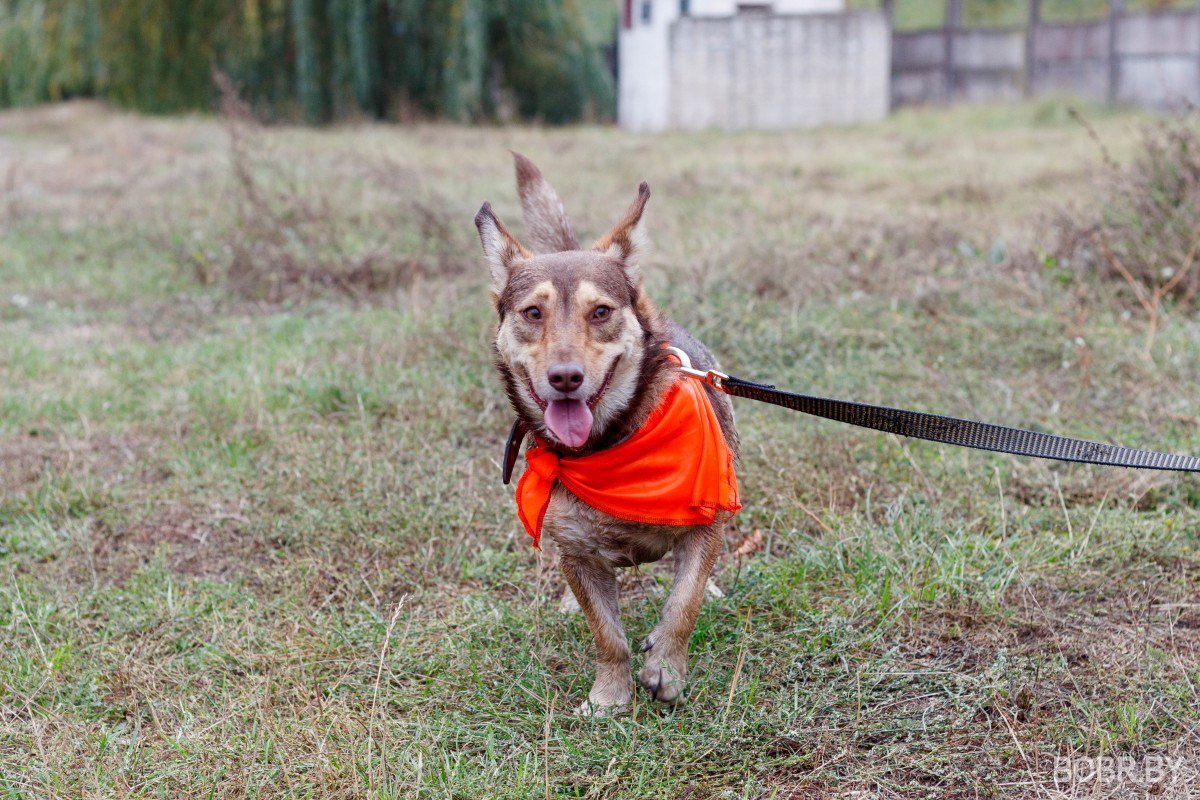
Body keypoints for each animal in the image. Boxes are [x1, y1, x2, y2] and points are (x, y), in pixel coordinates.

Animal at [470, 153, 734, 714]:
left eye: (602, 312)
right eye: (533, 312)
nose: (565, 378)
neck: (609, 446)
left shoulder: (704, 522)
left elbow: (684, 601)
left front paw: (665, 669)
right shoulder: (577, 552)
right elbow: (607, 634)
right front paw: (610, 697)